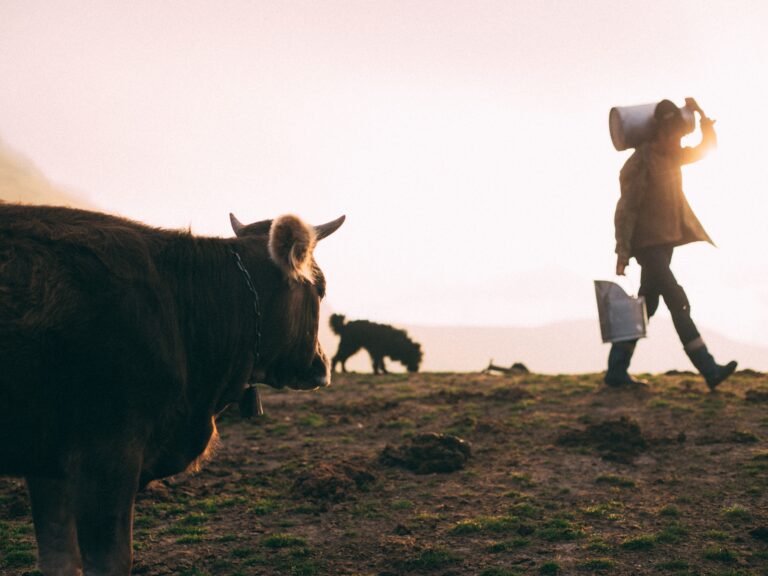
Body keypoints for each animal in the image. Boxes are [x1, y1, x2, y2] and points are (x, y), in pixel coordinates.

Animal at [0, 204, 344, 576]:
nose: (322, 364)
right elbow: (110, 559)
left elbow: (59, 557)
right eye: (321, 289)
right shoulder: (107, 454)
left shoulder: (48, 463)